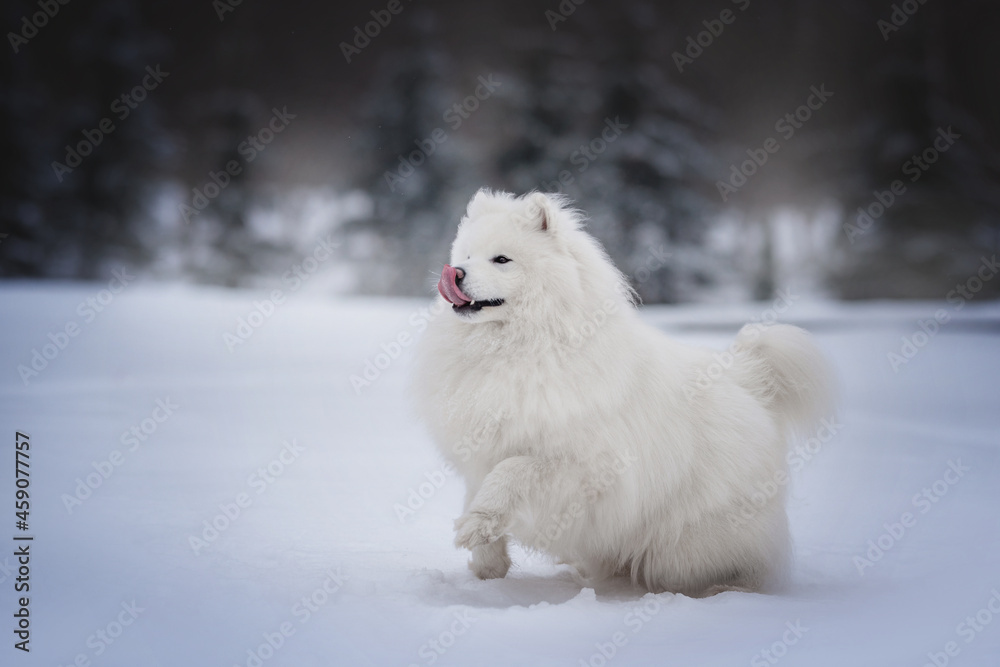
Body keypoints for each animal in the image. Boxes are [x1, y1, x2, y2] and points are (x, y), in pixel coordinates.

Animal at [410, 188, 832, 596]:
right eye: (466, 255)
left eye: (501, 259)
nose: (455, 273)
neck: (523, 346)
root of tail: (748, 378)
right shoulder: (481, 453)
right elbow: (480, 489)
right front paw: (486, 562)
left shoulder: (580, 465)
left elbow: (510, 473)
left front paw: (478, 525)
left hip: (689, 543)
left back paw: (724, 587)